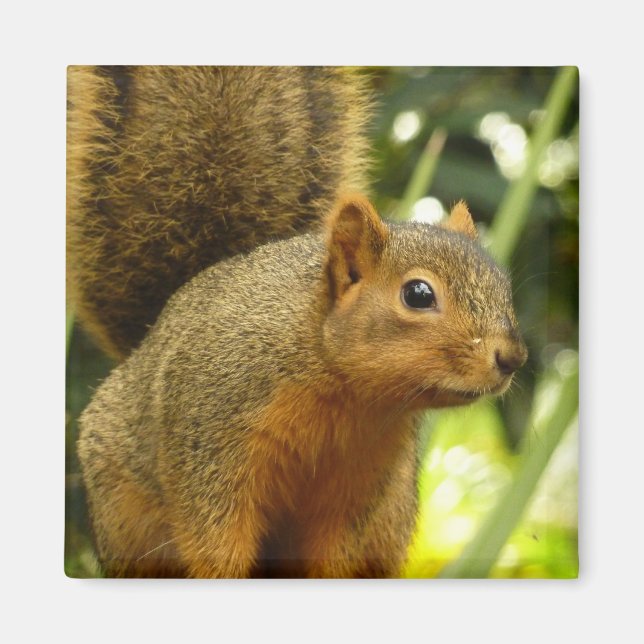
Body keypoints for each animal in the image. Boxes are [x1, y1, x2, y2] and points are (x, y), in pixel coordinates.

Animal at [69, 66, 528, 578]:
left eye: (502, 284)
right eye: (418, 294)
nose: (513, 357)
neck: (343, 390)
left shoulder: (361, 484)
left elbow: (335, 554)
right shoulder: (210, 438)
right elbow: (214, 536)